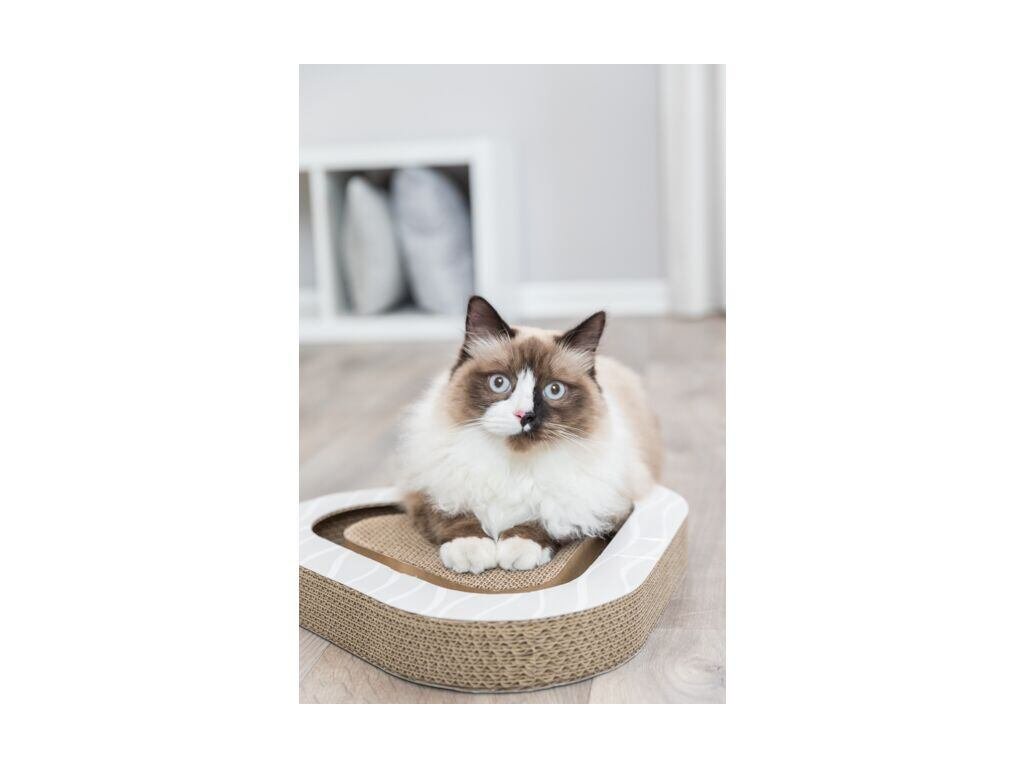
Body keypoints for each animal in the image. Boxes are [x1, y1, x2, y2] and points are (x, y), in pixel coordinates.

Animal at [397, 296, 663, 573]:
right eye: (499, 383)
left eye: (554, 390)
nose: (525, 416)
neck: (514, 467)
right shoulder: (426, 490)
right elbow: (455, 515)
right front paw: (470, 550)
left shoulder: (598, 505)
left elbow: (545, 518)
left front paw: (516, 548)